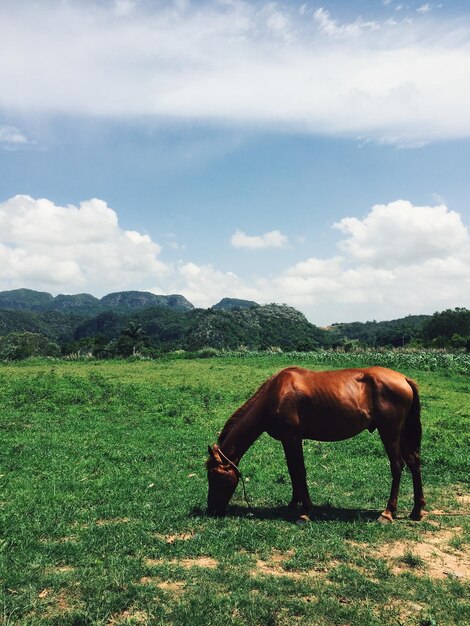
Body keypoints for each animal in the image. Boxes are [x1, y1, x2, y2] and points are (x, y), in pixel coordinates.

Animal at [207, 366, 426, 520]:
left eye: (216, 477)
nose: (212, 511)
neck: (276, 394)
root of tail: (403, 379)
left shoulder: (292, 438)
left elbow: (299, 471)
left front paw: (305, 511)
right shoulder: (288, 440)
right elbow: (292, 471)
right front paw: (293, 505)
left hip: (389, 432)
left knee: (397, 465)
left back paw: (388, 512)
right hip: (400, 433)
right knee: (414, 462)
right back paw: (417, 510)